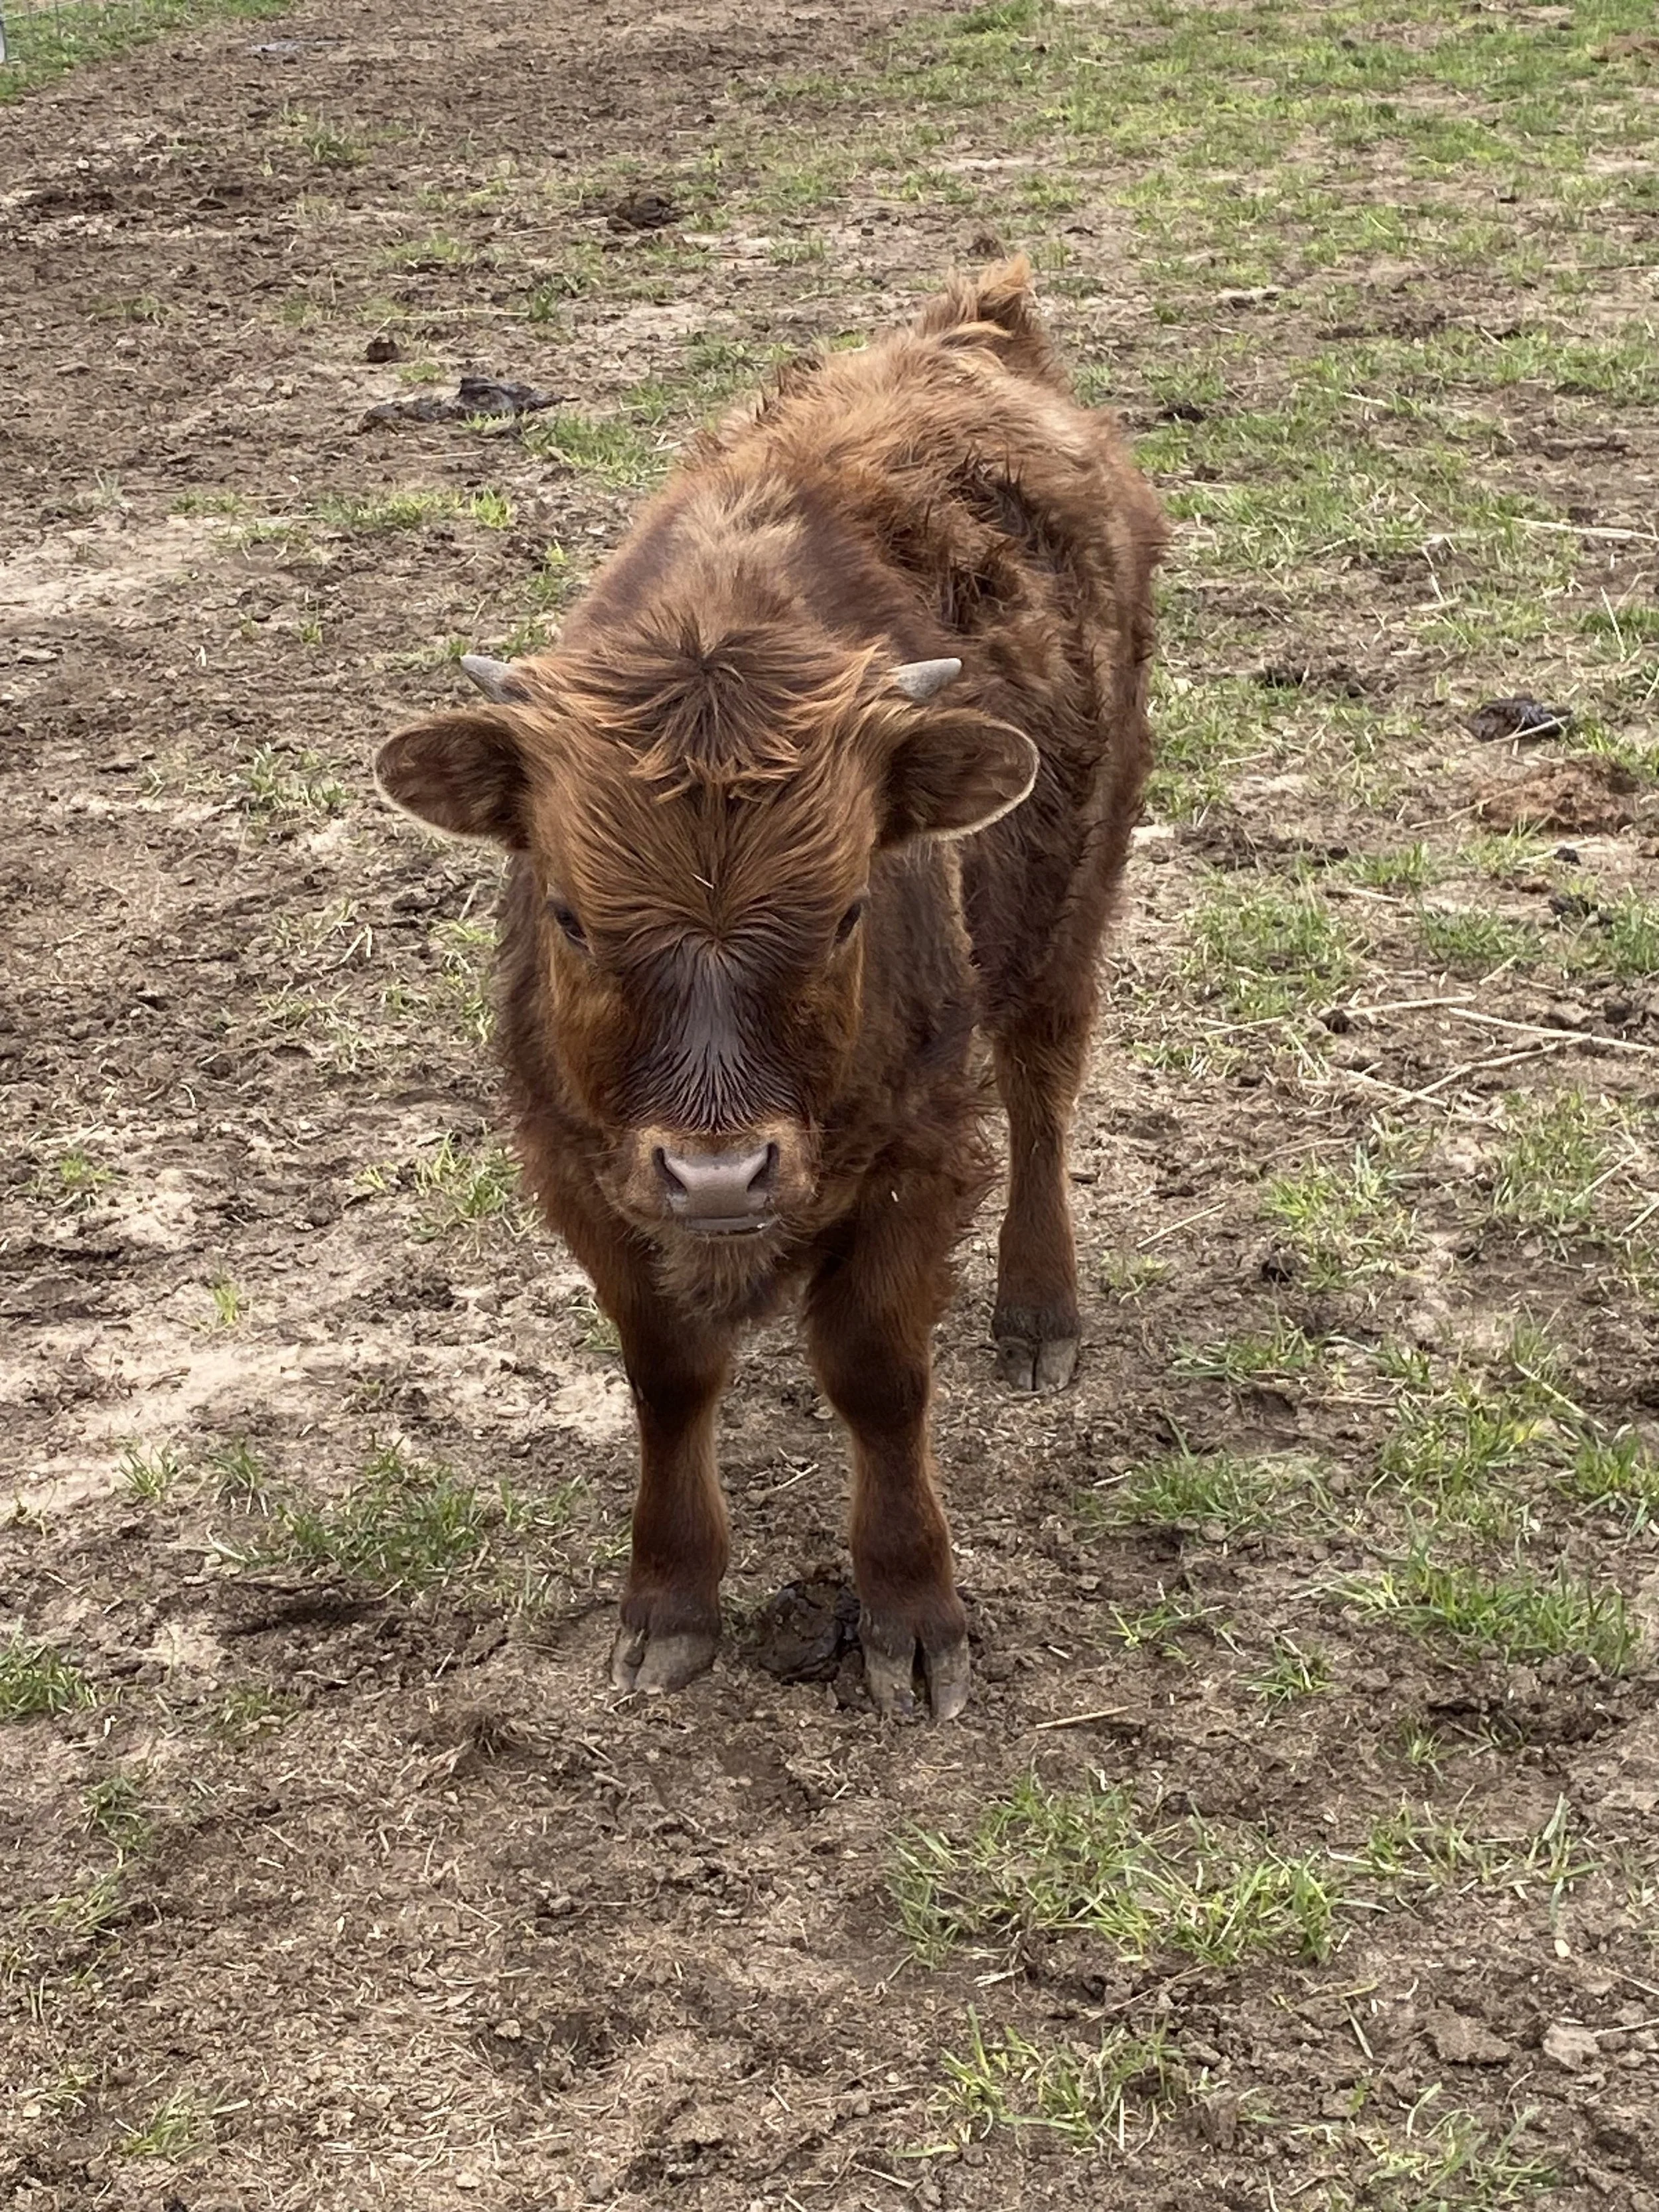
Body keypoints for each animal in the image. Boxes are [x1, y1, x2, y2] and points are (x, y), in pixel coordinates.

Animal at [376, 257, 1167, 1720]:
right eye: (570, 915)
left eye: (849, 906)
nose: (719, 1173)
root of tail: (976, 332)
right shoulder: (582, 1167)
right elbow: (668, 1377)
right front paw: (668, 1598)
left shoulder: (917, 1152)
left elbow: (877, 1375)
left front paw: (911, 1610)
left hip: (1073, 890)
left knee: (1043, 1084)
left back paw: (1038, 1309)